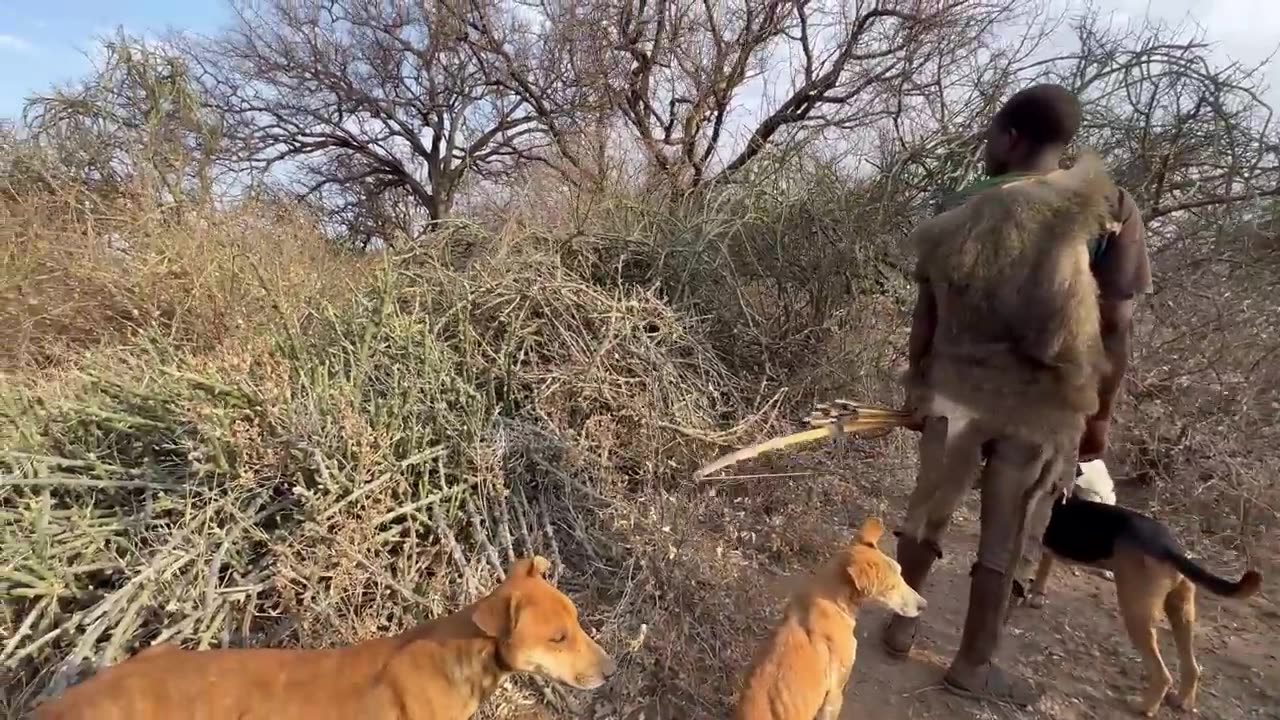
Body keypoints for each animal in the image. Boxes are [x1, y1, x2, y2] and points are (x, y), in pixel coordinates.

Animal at [1018, 491, 1259, 712]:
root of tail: (1169, 548)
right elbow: (1043, 567)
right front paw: (1036, 594)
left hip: (1136, 612)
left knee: (1162, 675)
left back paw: (1144, 706)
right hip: (1181, 610)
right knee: (1191, 667)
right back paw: (1181, 701)